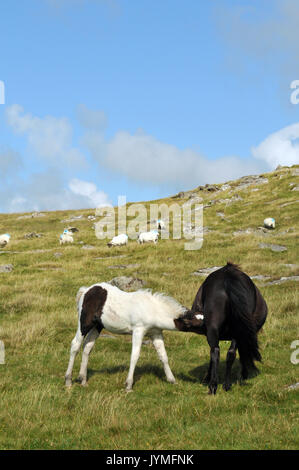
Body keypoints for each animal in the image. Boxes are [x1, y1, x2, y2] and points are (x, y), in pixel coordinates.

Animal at [175, 262, 268, 394]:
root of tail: (227, 278)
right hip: (237, 330)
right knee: (228, 353)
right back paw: (225, 384)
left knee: (216, 351)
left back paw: (213, 384)